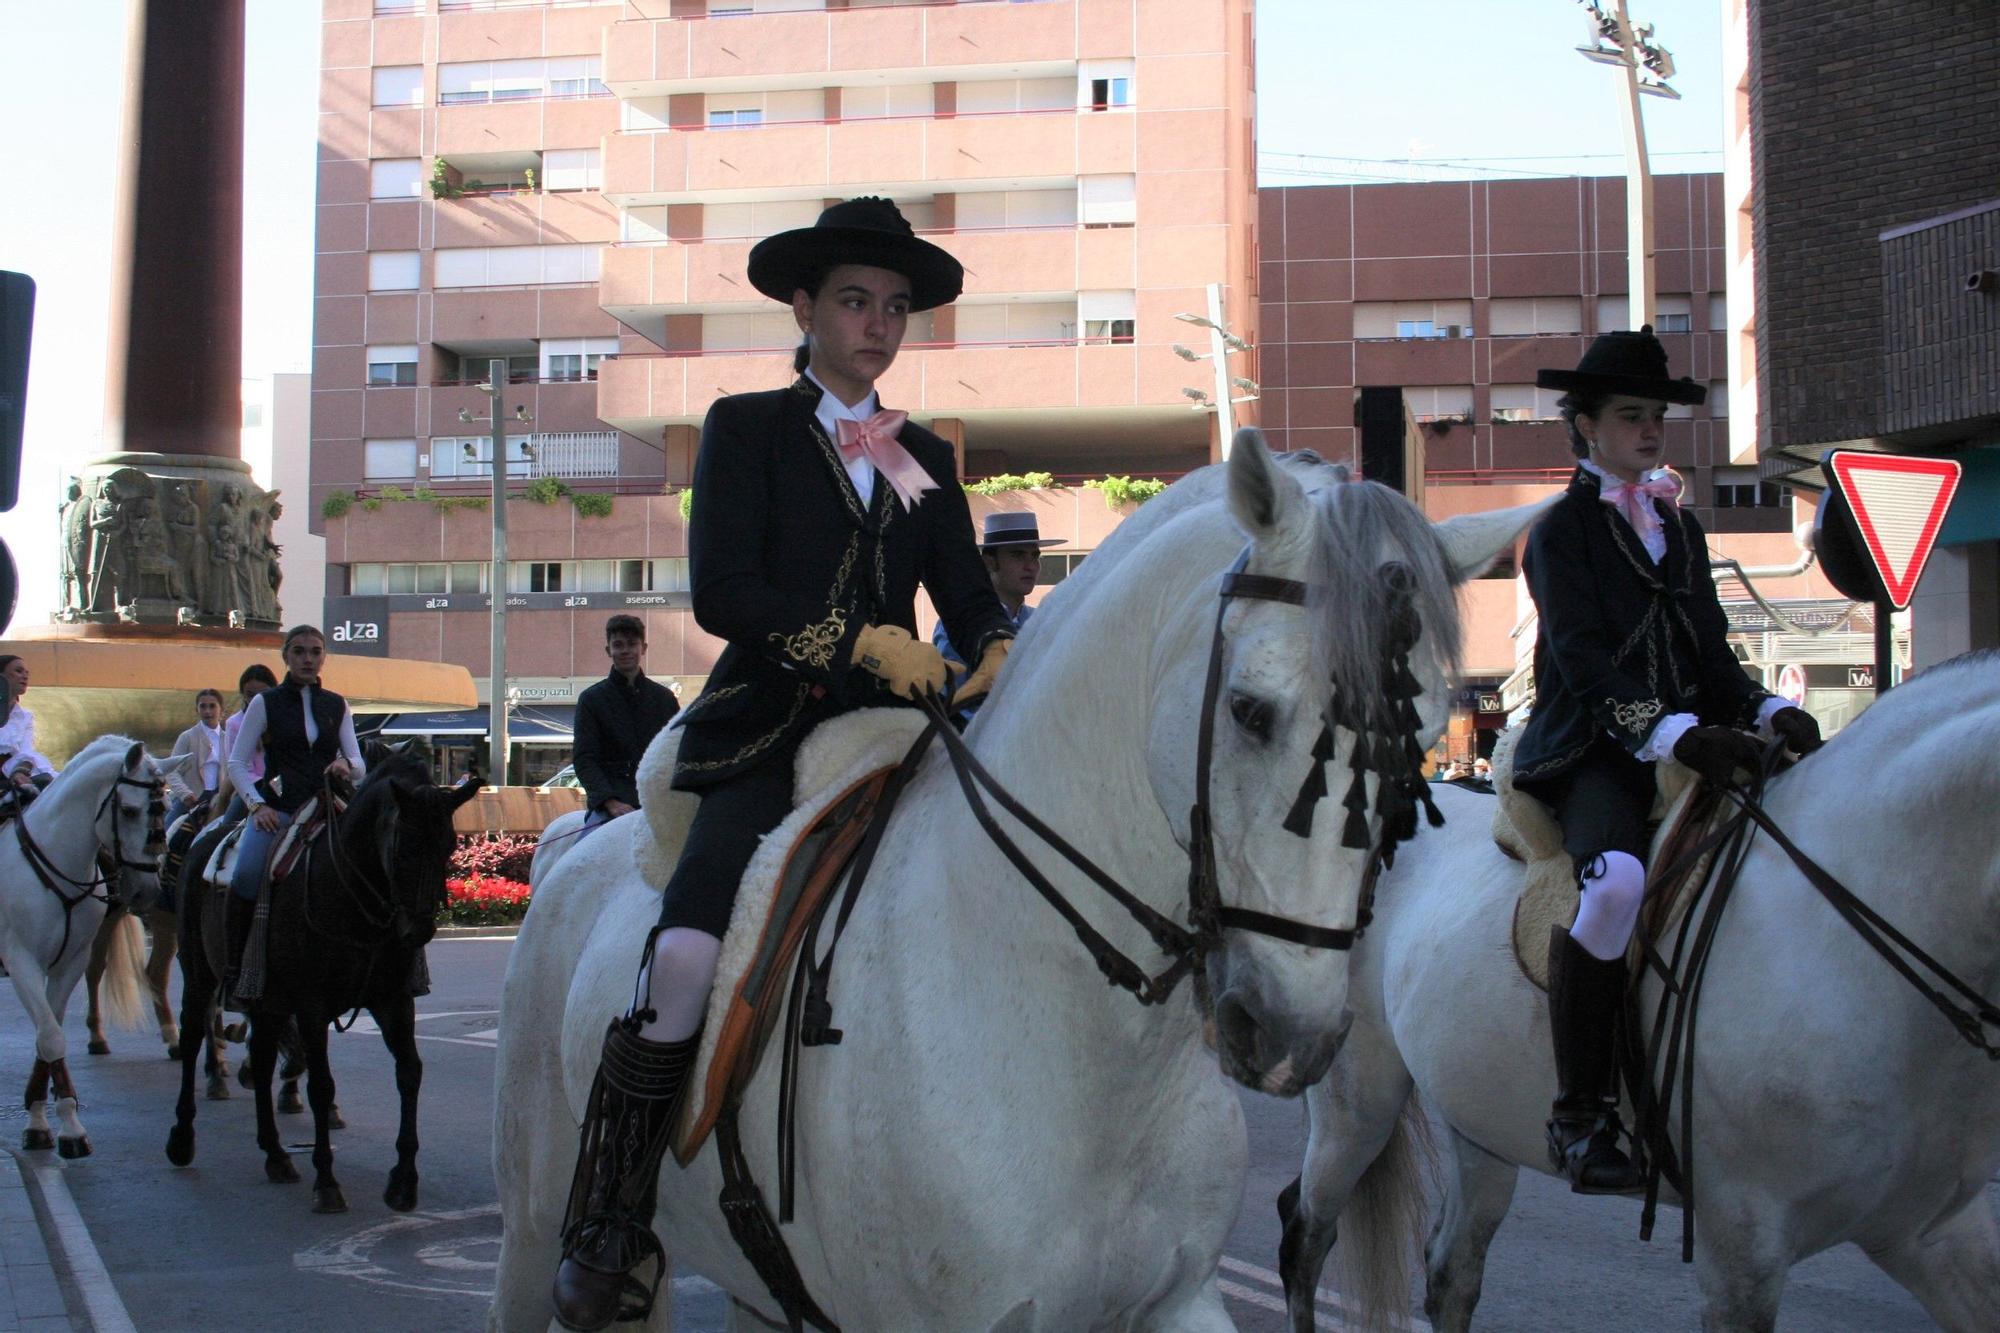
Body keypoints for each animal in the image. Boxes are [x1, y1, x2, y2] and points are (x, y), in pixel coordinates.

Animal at [0, 736, 164, 1152]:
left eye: (163, 808)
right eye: (129, 810)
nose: (146, 891)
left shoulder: (69, 963)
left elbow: (48, 1035)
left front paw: (46, 1122)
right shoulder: (21, 961)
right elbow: (51, 1038)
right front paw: (68, 1129)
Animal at [488, 430, 1544, 1320]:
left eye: (1418, 737)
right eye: (1249, 710)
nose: (1290, 1037)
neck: (1101, 1057)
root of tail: (579, 851)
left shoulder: (1177, 1302)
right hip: (533, 1228)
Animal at [1280, 648, 2000, 1328]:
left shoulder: (1931, 1232)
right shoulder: (1741, 1244)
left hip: (1475, 1117)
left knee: (1450, 1272)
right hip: (1356, 1102)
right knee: (1303, 1234)